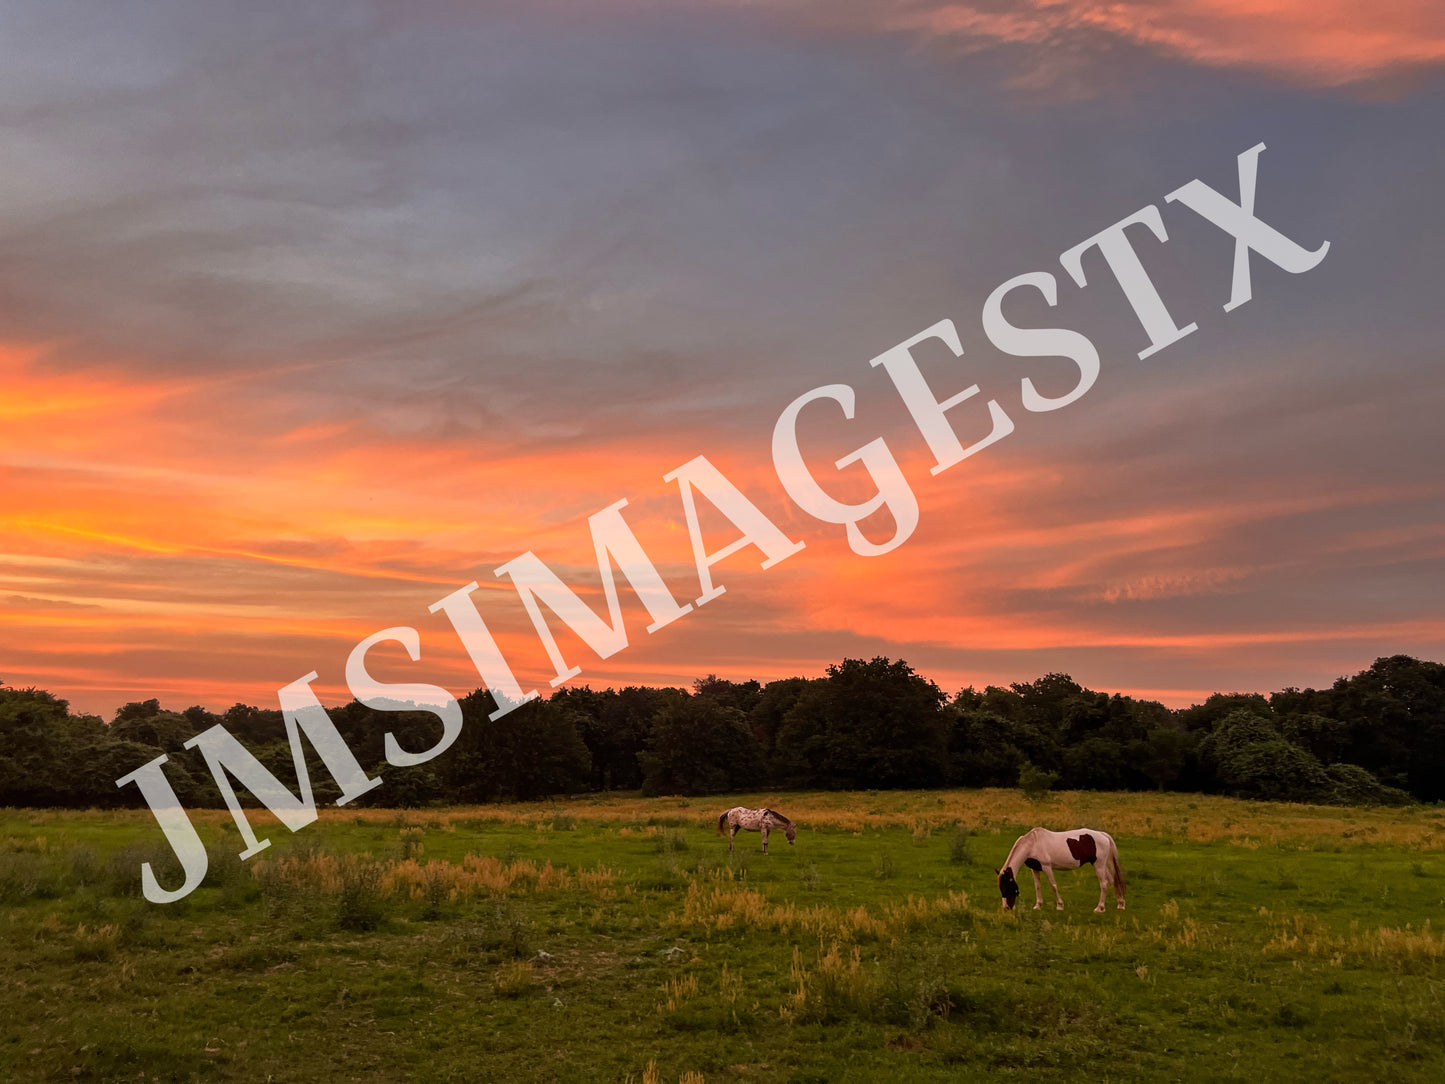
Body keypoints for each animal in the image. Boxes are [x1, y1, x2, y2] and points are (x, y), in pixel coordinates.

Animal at [994, 826, 1127, 913]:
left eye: (1007, 886)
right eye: (1001, 888)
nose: (1006, 907)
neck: (1032, 844)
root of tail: (1103, 835)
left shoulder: (1046, 867)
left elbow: (1053, 885)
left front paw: (1060, 905)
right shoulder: (1035, 868)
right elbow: (1037, 886)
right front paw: (1038, 905)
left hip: (1099, 865)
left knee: (1104, 883)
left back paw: (1100, 908)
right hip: (1102, 865)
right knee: (1113, 881)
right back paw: (1120, 904)